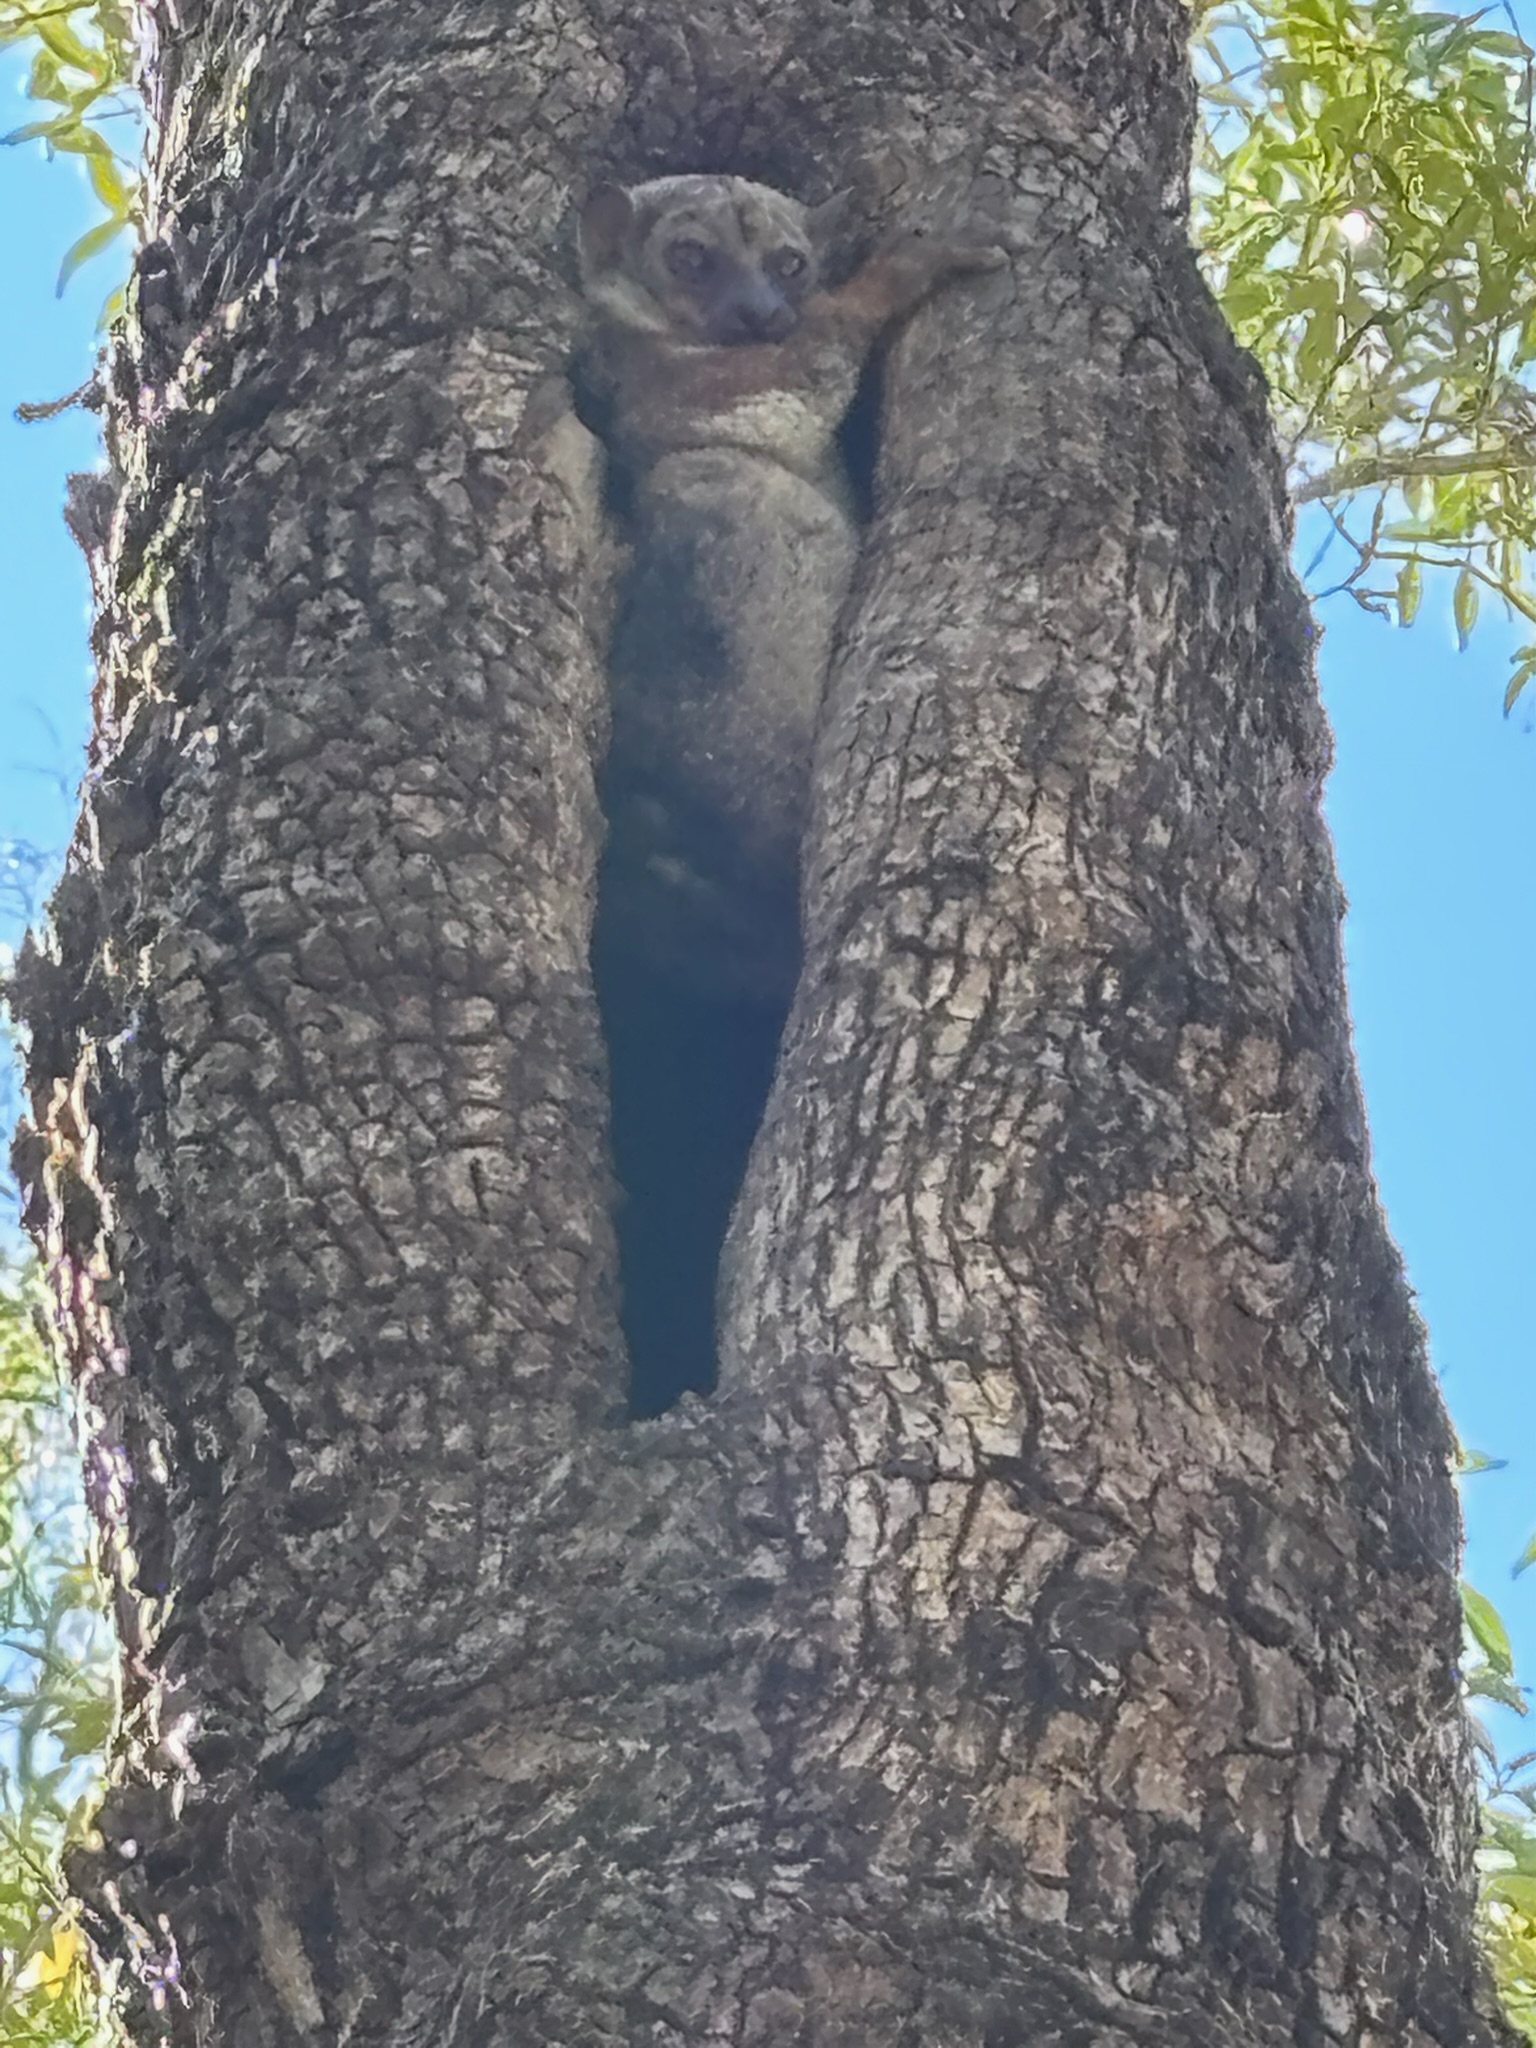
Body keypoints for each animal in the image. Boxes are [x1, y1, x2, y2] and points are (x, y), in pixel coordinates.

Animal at [578, 173, 1007, 1409]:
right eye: (690, 258)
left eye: (786, 260)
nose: (763, 309)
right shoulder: (683, 383)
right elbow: (802, 376)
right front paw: (910, 268)